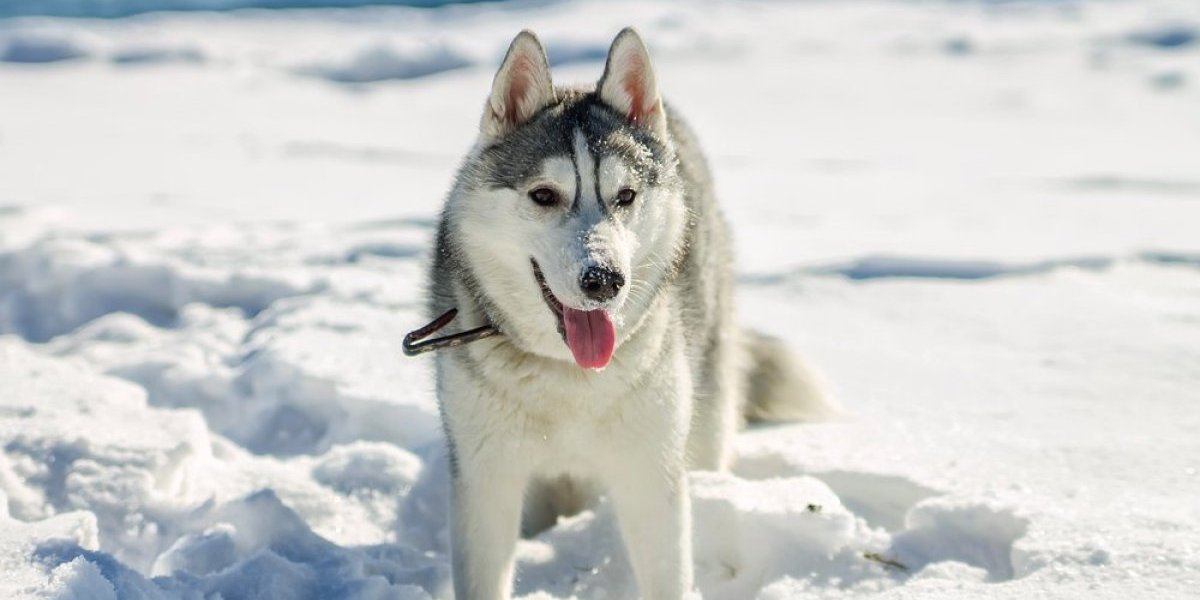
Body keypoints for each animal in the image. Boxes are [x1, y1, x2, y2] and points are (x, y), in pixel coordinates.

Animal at [429, 27, 835, 595]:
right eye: (544, 195)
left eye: (625, 195)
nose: (603, 280)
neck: (569, 376)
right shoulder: (485, 480)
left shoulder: (651, 473)